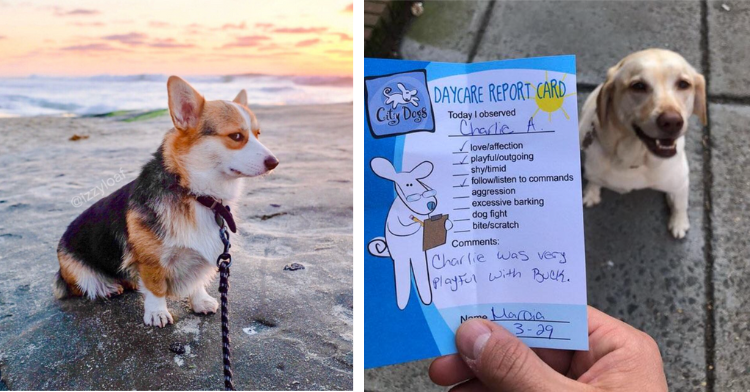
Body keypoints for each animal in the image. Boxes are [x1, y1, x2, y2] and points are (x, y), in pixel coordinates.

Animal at [54, 75, 280, 326]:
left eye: (258, 134)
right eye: (237, 136)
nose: (275, 162)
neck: (196, 194)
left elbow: (196, 281)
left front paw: (200, 301)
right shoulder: (151, 260)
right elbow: (155, 287)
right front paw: (157, 313)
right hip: (73, 267)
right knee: (84, 284)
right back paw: (106, 287)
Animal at [584, 49, 708, 239]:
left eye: (683, 84)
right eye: (638, 86)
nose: (672, 122)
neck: (633, 160)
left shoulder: (680, 183)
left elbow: (680, 204)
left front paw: (679, 223)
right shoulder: (592, 170)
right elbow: (593, 181)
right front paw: (591, 194)